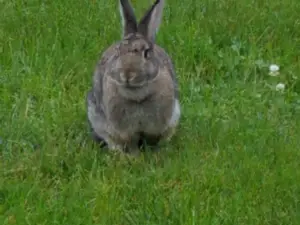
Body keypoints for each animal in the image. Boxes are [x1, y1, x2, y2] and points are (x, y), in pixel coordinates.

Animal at [86, 0, 180, 155]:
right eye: (118, 51)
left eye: (146, 53)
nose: (127, 74)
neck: (137, 96)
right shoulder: (125, 132)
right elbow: (131, 144)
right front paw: (134, 157)